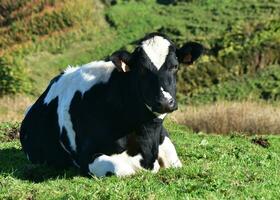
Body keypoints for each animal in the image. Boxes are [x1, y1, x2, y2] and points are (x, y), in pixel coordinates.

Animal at [20, 32, 203, 177]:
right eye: (142, 69)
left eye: (175, 66)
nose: (164, 102)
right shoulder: (87, 157)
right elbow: (123, 169)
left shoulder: (170, 153)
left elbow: (174, 163)